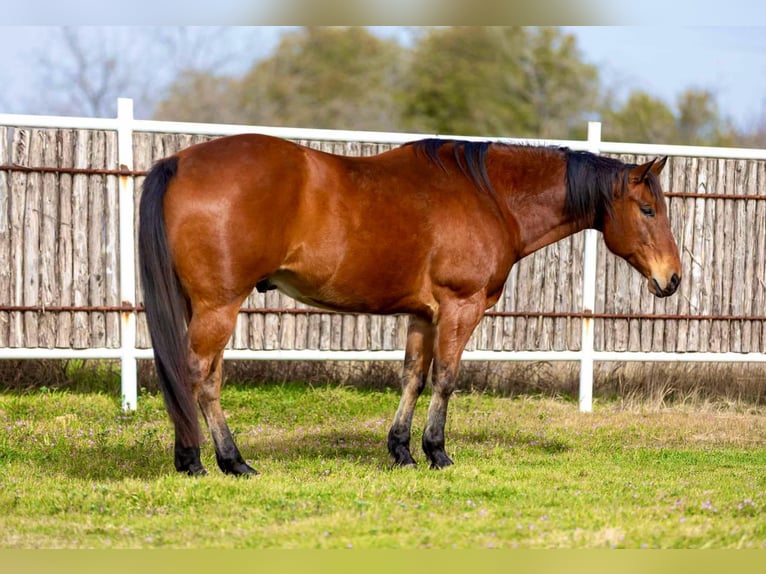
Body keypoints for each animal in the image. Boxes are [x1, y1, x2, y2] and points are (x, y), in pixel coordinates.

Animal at [140, 135, 684, 476]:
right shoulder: (460, 307)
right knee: (200, 376)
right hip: (219, 306)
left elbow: (413, 378)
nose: (672, 278)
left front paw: (401, 451)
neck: (490, 197)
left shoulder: (424, 315)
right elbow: (445, 378)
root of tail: (179, 163)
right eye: (647, 209)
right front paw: (436, 452)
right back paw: (216, 461)